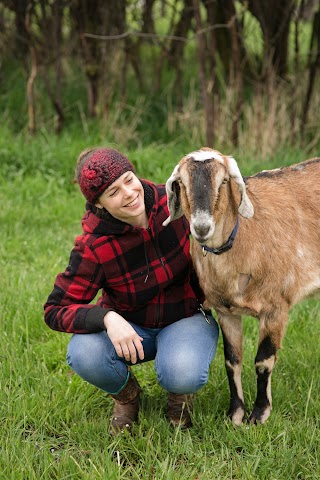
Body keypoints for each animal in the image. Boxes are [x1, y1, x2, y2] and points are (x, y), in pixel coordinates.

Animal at [164, 146, 320, 424]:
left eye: (224, 181)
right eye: (181, 183)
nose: (201, 227)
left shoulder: (275, 308)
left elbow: (263, 361)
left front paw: (258, 415)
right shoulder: (225, 311)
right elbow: (231, 360)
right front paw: (235, 415)